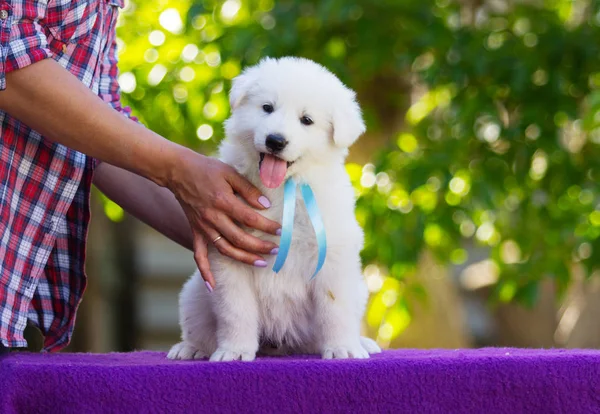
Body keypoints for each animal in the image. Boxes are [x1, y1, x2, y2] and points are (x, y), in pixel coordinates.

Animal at [168, 56, 380, 360]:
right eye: (267, 108)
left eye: (306, 120)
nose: (275, 141)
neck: (282, 188)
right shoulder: (231, 256)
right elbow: (236, 310)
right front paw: (235, 351)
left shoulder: (332, 255)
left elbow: (335, 309)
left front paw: (343, 348)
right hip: (196, 292)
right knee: (197, 326)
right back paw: (190, 348)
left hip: (358, 290)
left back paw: (362, 343)